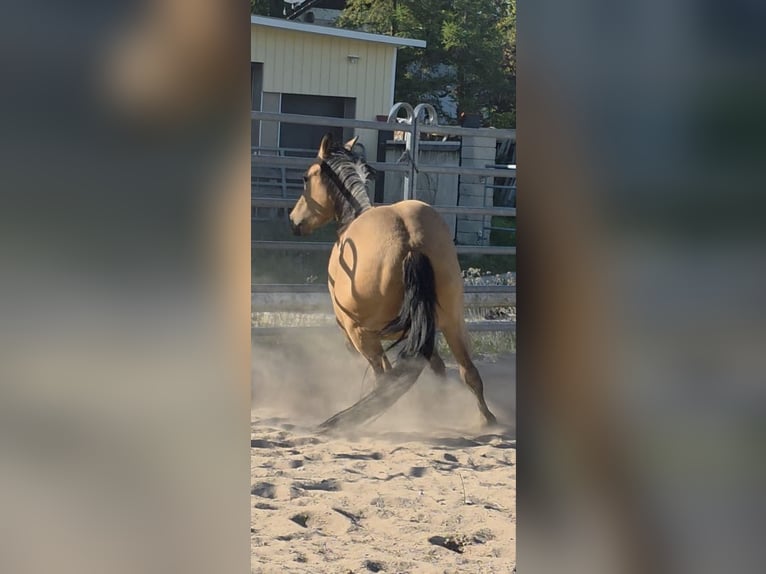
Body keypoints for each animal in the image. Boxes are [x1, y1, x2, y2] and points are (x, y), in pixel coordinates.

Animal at [289, 134, 497, 429]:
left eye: (306, 178)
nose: (294, 221)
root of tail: (410, 242)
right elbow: (438, 367)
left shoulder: (350, 332)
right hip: (453, 322)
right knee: (468, 371)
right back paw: (485, 419)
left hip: (363, 335)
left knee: (384, 380)